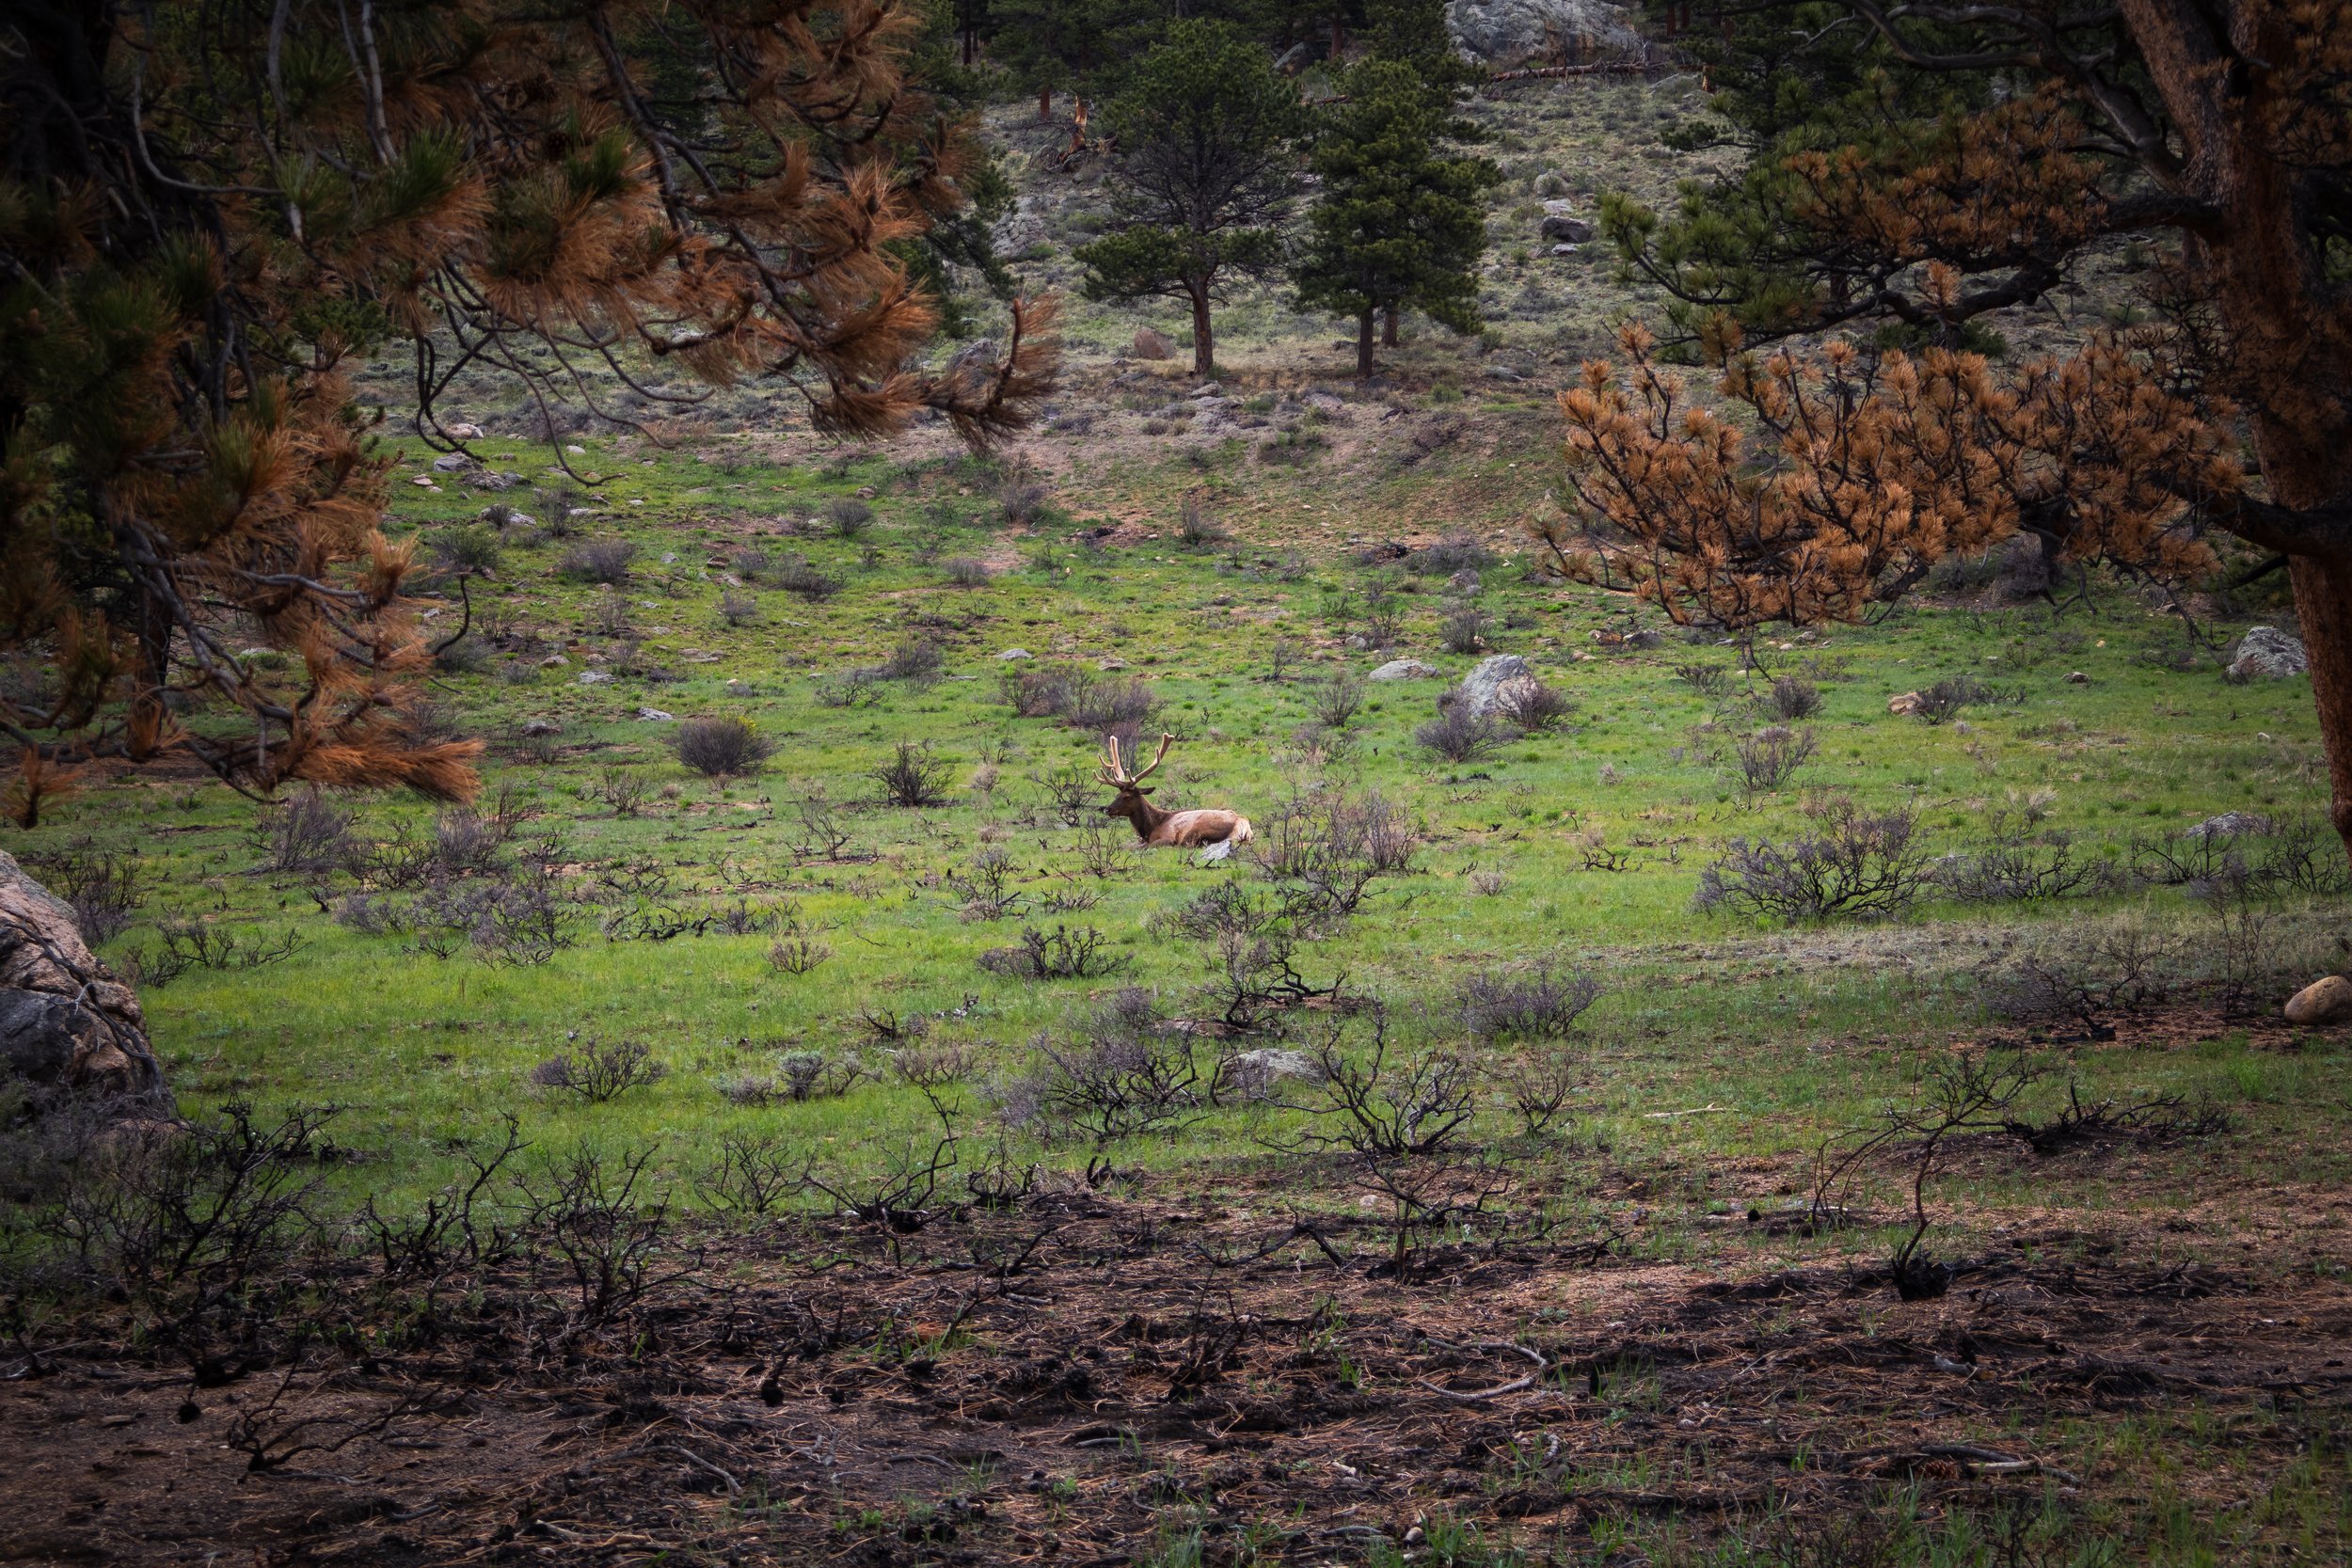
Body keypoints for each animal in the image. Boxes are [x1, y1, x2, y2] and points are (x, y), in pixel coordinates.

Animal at [1098, 732, 1252, 858]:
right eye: (1117, 795)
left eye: (1128, 796)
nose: (1107, 809)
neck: (1150, 828)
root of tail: (1243, 826)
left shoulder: (1167, 837)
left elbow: (1137, 846)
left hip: (1197, 829)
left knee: (1185, 845)